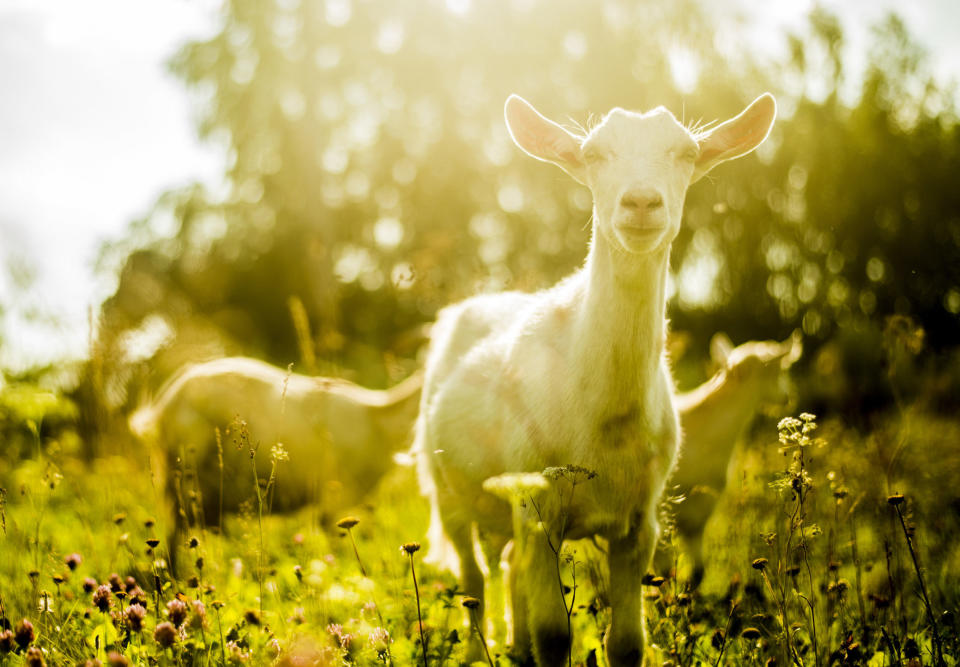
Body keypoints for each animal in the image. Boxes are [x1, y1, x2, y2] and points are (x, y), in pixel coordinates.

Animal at [416, 91, 776, 664]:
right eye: (592, 154)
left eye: (686, 153)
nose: (642, 202)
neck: (606, 419)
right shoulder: (540, 509)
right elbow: (554, 636)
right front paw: (537, 643)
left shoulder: (640, 524)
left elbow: (627, 643)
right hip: (446, 488)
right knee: (472, 577)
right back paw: (478, 649)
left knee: (509, 568)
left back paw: (512, 646)